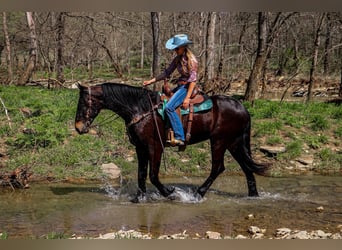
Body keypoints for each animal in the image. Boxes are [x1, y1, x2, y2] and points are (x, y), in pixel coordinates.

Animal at [75, 83, 270, 202]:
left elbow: (153, 175)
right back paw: (253, 196)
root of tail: (242, 107)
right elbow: (141, 174)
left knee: (218, 167)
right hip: (234, 143)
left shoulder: (155, 147)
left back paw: (198, 194)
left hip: (219, 142)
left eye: (85, 102)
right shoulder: (140, 148)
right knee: (247, 168)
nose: (78, 127)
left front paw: (170, 193)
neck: (141, 109)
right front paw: (139, 198)